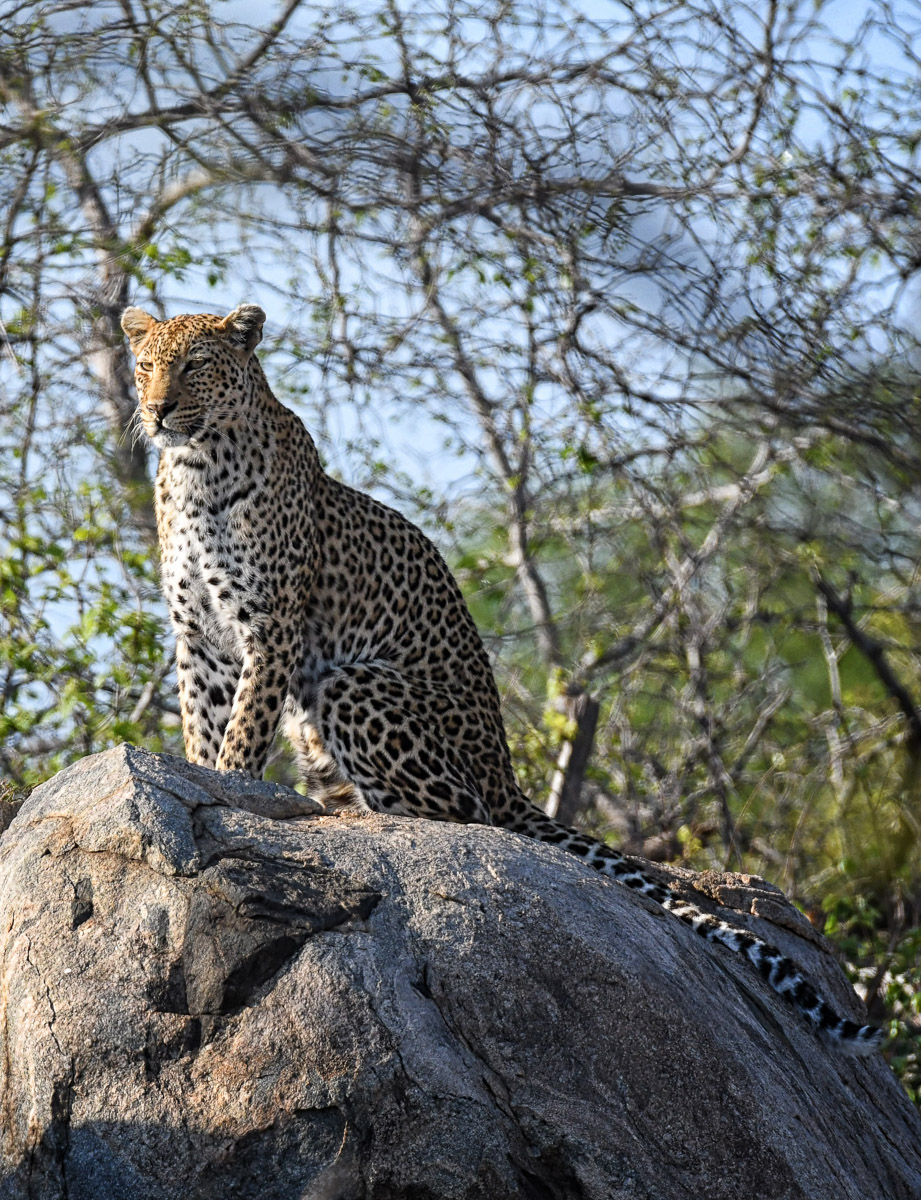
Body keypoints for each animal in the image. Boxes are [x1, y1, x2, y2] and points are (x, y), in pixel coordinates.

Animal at [121, 301, 883, 1056]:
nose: (157, 410)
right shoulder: (199, 640)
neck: (195, 470)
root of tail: (507, 772)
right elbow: (204, 726)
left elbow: (244, 729)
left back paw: (371, 819)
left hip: (352, 684)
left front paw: (230, 786)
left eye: (196, 364)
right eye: (147, 364)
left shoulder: (272, 626)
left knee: (467, 816)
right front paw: (201, 778)